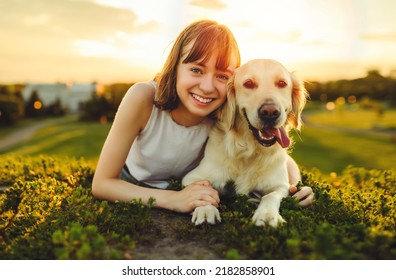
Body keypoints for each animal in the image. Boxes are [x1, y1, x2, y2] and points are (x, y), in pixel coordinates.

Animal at [183, 59, 310, 228]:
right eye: (248, 83)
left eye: (282, 83)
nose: (270, 112)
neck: (249, 150)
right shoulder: (192, 177)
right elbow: (202, 189)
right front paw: (205, 210)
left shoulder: (281, 186)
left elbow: (270, 196)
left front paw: (267, 215)